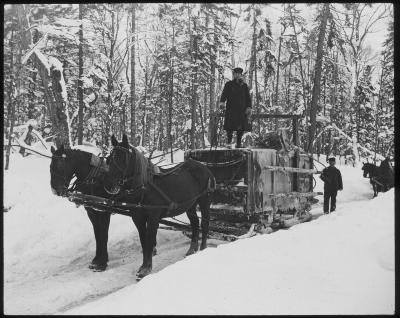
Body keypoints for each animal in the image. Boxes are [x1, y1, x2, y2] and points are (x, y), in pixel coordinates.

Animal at [104, 134, 216, 278]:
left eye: (122, 158)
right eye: (109, 158)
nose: (108, 185)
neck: (144, 188)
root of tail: (204, 167)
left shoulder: (153, 218)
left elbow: (150, 239)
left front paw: (146, 269)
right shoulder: (137, 218)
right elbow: (143, 241)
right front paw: (143, 267)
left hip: (204, 201)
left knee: (205, 223)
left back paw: (203, 249)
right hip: (190, 204)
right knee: (195, 223)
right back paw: (192, 249)